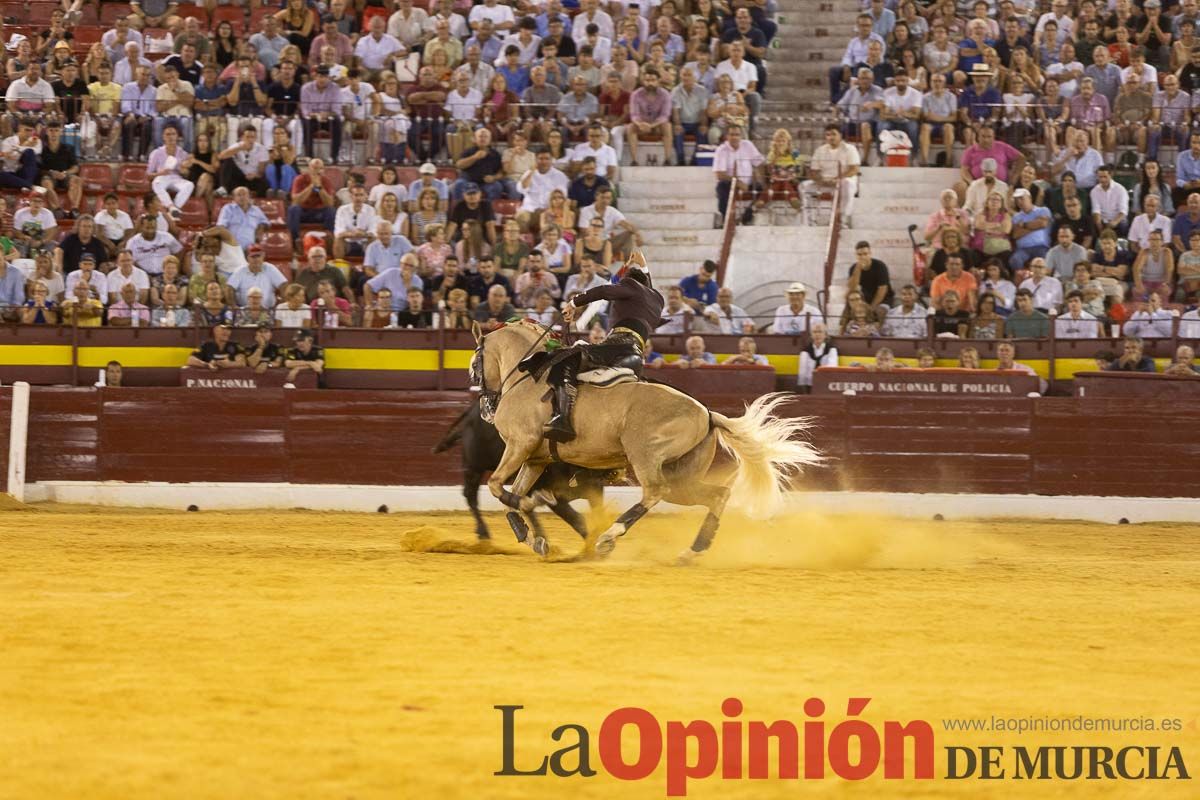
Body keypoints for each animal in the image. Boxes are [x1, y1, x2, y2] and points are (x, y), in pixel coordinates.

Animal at [429, 398, 614, 542]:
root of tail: (471, 413)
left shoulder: (594, 489)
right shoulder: (550, 493)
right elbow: (576, 519)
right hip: (474, 467)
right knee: (470, 495)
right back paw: (483, 533)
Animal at [463, 319, 820, 563]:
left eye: (474, 364)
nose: (486, 407)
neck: (527, 379)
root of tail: (706, 413)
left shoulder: (520, 446)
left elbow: (499, 487)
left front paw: (532, 512)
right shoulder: (536, 458)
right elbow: (511, 494)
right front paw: (533, 537)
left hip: (646, 458)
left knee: (653, 492)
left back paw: (609, 537)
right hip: (680, 479)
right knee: (717, 494)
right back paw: (692, 551)